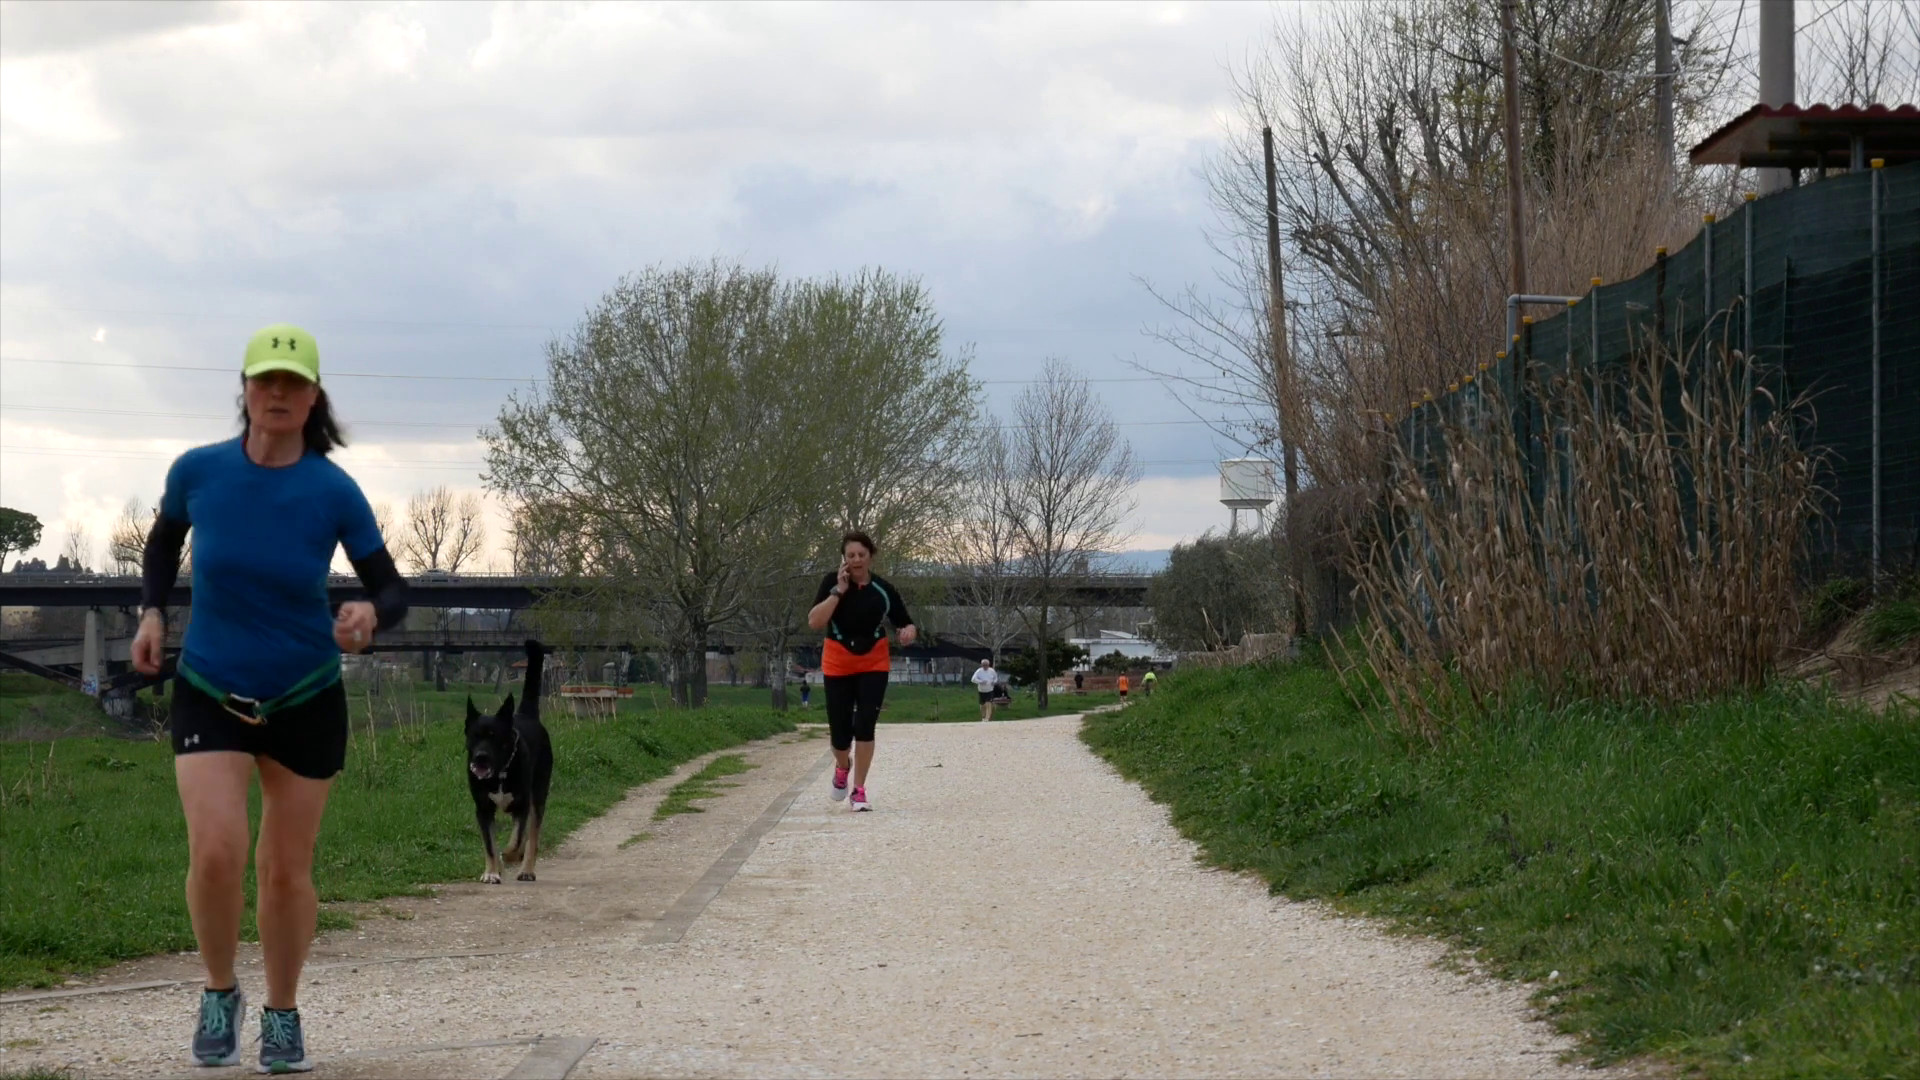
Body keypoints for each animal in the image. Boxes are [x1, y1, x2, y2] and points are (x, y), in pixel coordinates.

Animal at [466, 634, 556, 880]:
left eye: (494, 737)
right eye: (474, 736)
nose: (480, 757)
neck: (500, 773)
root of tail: (526, 714)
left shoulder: (522, 805)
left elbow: (517, 840)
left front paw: (509, 857)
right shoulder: (482, 808)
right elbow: (489, 844)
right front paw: (492, 871)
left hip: (539, 794)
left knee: (532, 836)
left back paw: (526, 869)